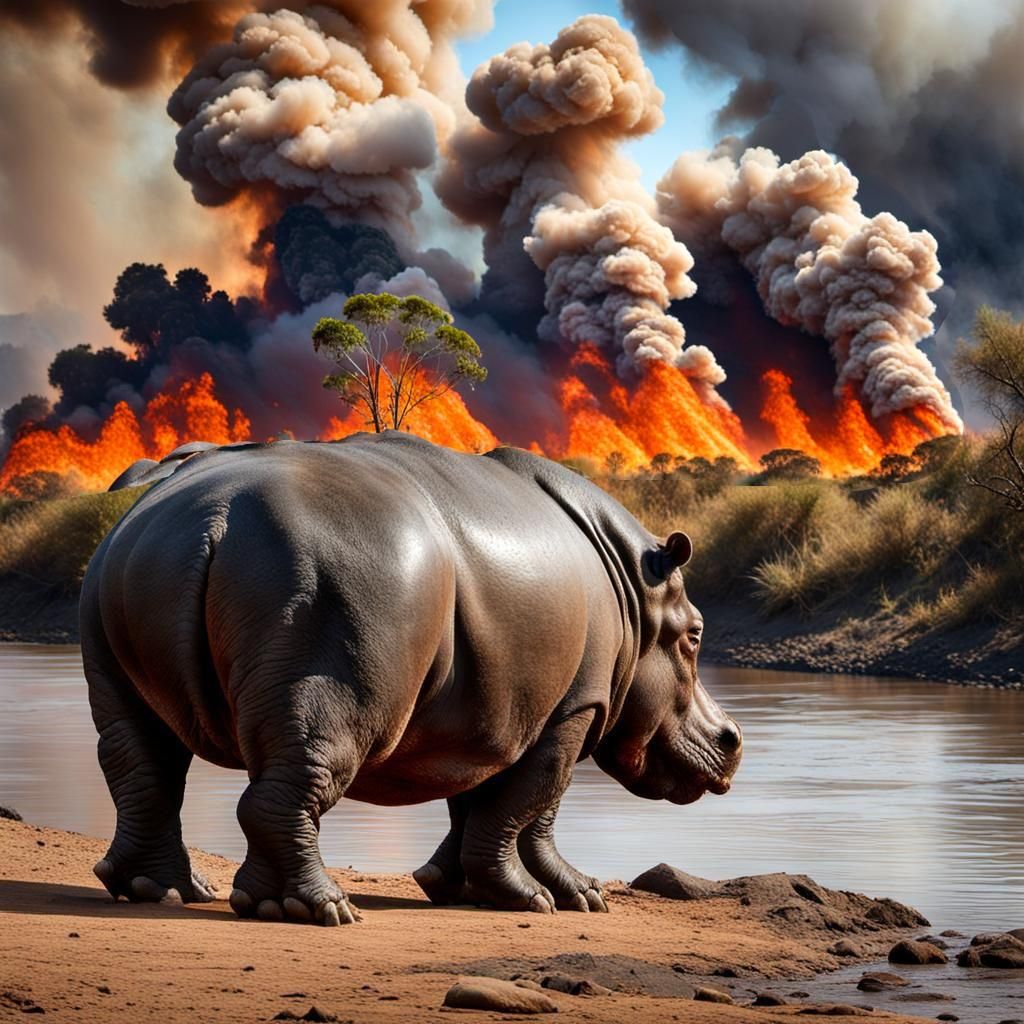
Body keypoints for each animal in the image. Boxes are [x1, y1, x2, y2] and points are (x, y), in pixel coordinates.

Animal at [81, 432, 742, 926]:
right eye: (695, 635)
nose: (733, 738)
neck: (638, 590)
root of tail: (211, 521)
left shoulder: (495, 713)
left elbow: (481, 803)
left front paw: (465, 890)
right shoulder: (573, 709)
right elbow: (532, 805)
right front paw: (554, 900)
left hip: (120, 574)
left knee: (143, 760)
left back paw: (166, 892)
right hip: (327, 605)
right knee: (304, 765)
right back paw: (318, 911)